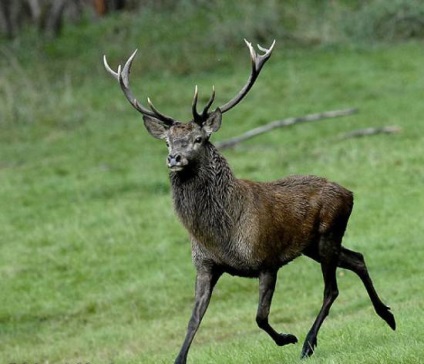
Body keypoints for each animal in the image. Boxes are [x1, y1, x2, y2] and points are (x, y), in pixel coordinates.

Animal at [102, 38, 394, 362]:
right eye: (167, 142)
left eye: (198, 139)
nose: (174, 157)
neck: (220, 234)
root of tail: (349, 192)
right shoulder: (205, 266)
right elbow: (193, 321)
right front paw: (179, 358)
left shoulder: (267, 260)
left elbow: (260, 317)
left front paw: (288, 338)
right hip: (312, 246)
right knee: (357, 258)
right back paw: (387, 315)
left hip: (328, 234)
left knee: (331, 288)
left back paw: (308, 343)